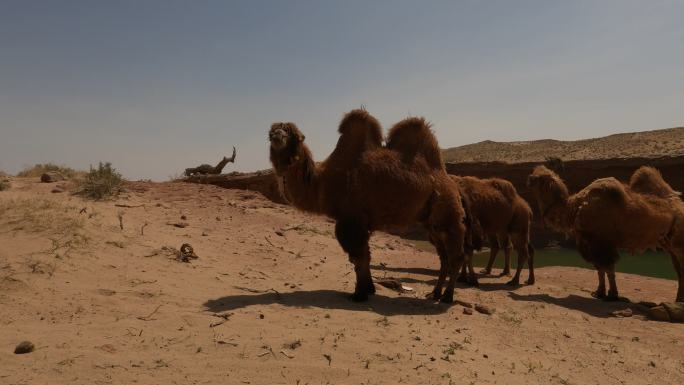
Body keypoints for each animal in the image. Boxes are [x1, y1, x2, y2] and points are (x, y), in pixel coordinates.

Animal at [270, 109, 468, 304]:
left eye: (291, 133)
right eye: (270, 132)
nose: (276, 135)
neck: (324, 183)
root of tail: (449, 180)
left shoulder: (352, 220)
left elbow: (358, 258)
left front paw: (359, 294)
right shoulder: (358, 223)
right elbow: (365, 256)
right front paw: (369, 289)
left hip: (447, 212)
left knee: (456, 256)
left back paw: (447, 297)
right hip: (431, 224)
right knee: (444, 257)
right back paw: (435, 294)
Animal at [528, 164, 684, 302]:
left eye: (537, 178)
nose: (528, 180)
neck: (575, 208)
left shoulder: (603, 243)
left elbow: (608, 269)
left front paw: (612, 296)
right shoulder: (590, 243)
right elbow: (599, 269)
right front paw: (599, 293)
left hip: (678, 245)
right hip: (669, 245)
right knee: (679, 271)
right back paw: (677, 300)